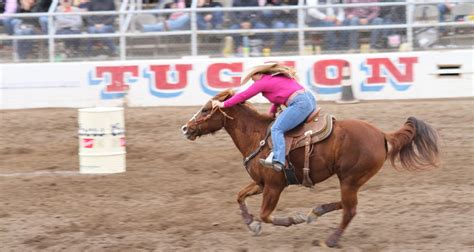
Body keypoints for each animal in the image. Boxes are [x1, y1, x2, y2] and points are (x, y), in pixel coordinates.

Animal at [180, 89, 438, 247]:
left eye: (206, 109)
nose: (185, 128)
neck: (257, 136)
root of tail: (382, 135)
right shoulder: (260, 183)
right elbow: (239, 196)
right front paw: (250, 223)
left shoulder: (274, 186)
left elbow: (266, 214)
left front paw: (291, 219)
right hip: (351, 180)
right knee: (346, 204)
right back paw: (317, 212)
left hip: (350, 179)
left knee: (350, 210)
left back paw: (331, 239)